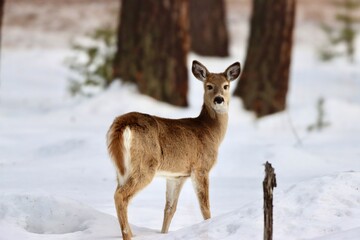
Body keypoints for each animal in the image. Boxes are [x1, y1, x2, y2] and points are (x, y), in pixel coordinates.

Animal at [107, 60, 242, 240]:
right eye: (209, 86)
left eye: (226, 86)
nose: (219, 99)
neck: (210, 131)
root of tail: (123, 122)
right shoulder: (201, 167)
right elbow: (205, 207)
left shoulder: (177, 176)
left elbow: (170, 209)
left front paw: (163, 234)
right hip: (145, 164)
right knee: (120, 196)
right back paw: (128, 235)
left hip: (121, 169)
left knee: (120, 194)